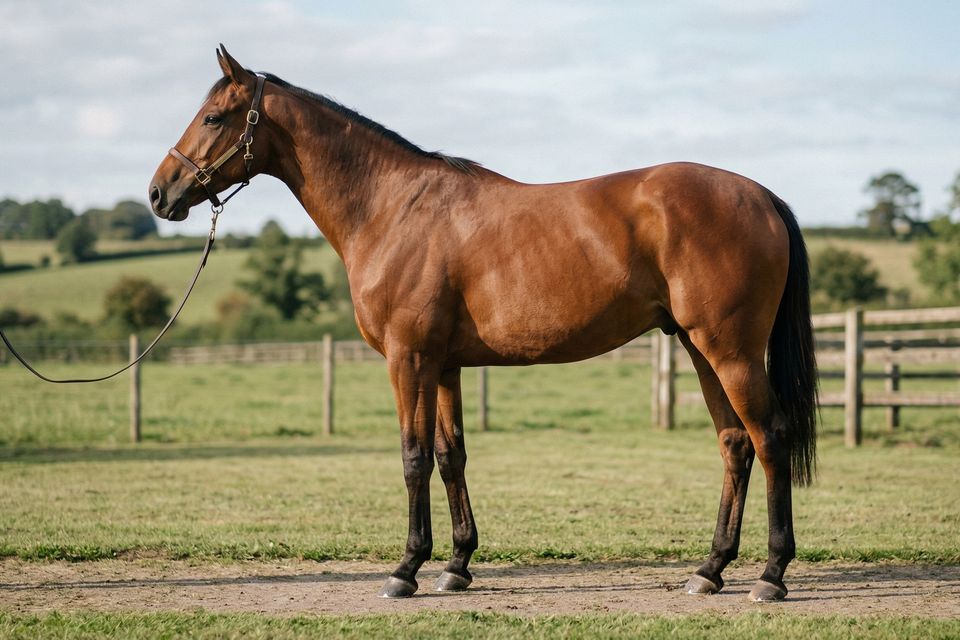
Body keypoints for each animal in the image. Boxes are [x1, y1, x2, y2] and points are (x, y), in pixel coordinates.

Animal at [149, 45, 817, 602]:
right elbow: (451, 457)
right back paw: (710, 571)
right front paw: (456, 566)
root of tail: (761, 195)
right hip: (702, 350)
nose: (159, 193)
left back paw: (770, 576)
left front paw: (406, 569)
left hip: (730, 351)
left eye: (213, 118)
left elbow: (412, 456)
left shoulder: (408, 359)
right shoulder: (443, 365)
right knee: (734, 444)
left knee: (770, 438)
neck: (393, 209)